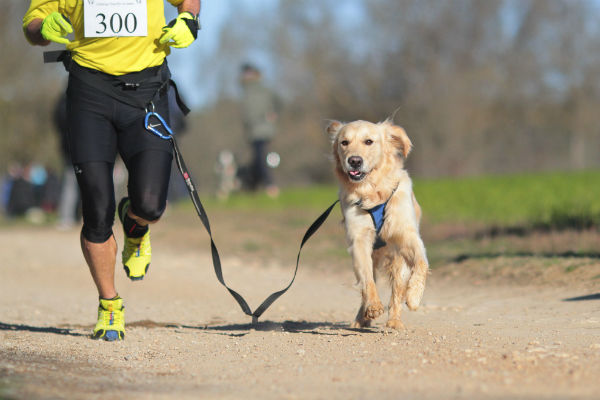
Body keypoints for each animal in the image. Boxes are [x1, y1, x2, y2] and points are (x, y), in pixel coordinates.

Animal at [328, 119, 426, 332]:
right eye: (344, 142)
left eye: (369, 141)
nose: (354, 161)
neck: (372, 190)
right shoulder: (359, 238)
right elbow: (367, 280)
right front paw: (372, 306)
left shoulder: (406, 235)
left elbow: (421, 263)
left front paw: (414, 297)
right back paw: (361, 318)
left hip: (398, 260)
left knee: (397, 290)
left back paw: (395, 321)